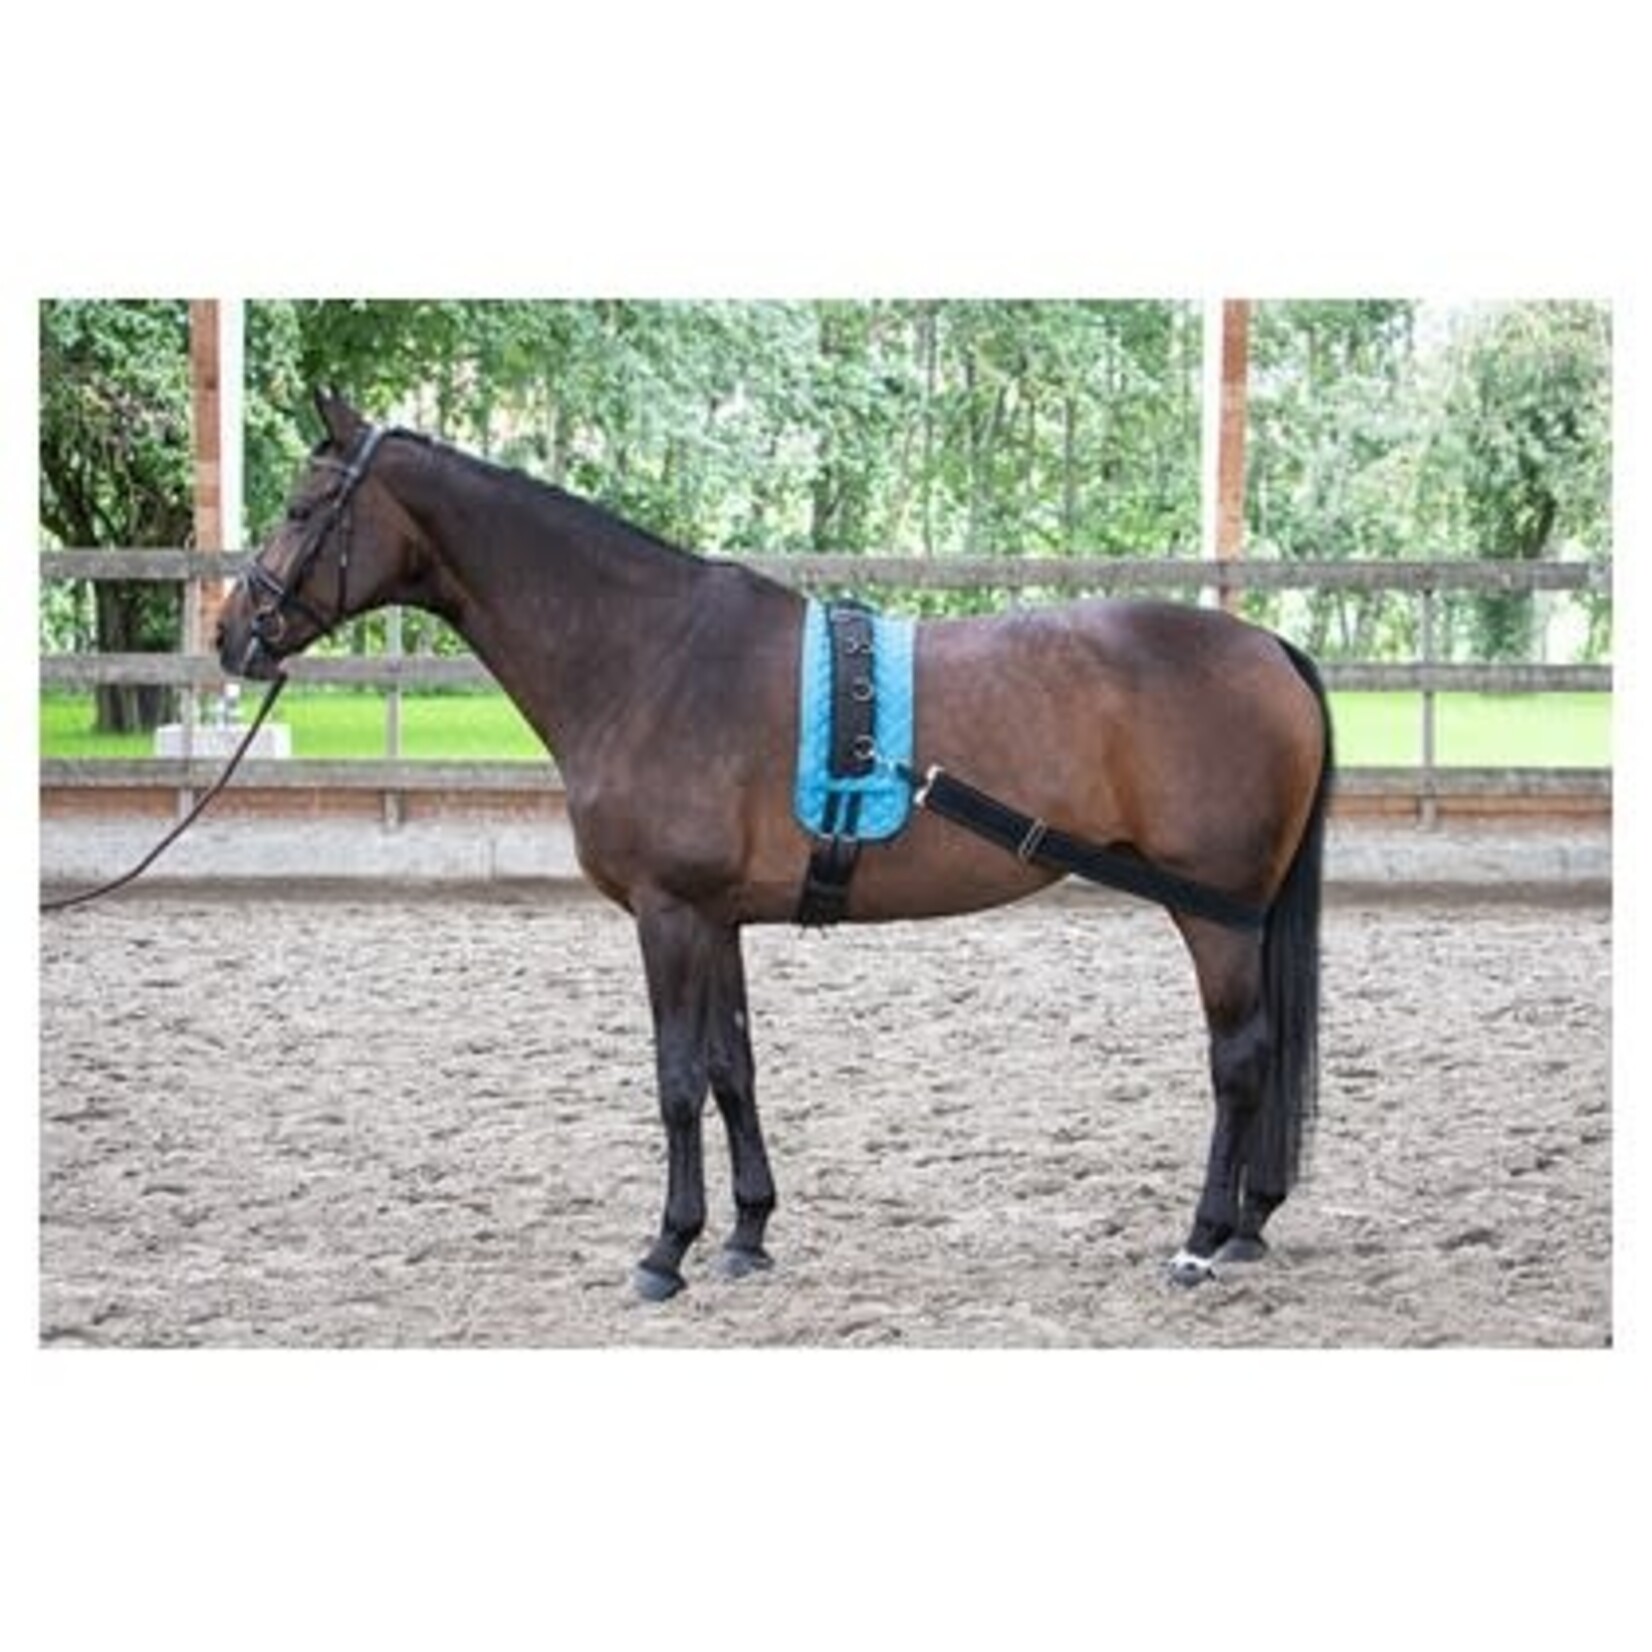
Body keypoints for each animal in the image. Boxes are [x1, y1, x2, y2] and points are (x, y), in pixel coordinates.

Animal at [216, 390, 1334, 1302]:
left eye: (304, 508)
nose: (234, 635)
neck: (650, 656)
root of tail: (1267, 646)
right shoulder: (716, 917)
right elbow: (730, 1068)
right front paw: (746, 1233)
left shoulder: (667, 914)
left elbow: (675, 1078)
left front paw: (665, 1249)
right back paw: (1248, 1222)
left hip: (1212, 913)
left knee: (1239, 1061)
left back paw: (1200, 1238)